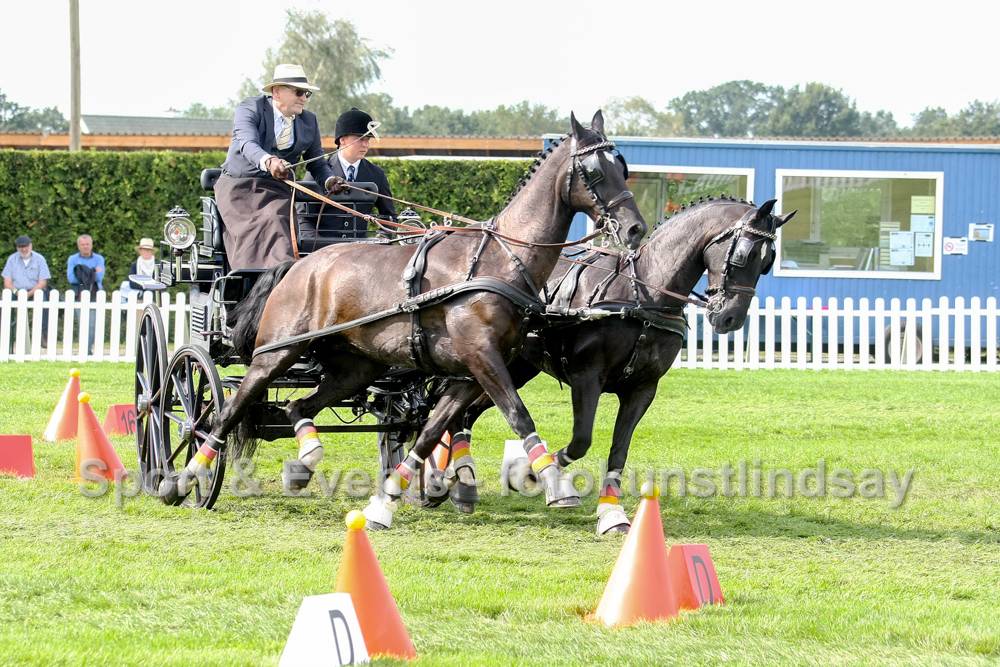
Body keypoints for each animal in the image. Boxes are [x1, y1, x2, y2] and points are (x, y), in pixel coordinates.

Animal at [430, 197, 796, 532]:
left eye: (768, 262)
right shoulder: (586, 377)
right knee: (460, 410)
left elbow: (619, 450)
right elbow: (581, 441)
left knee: (466, 412)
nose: (731, 318)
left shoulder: (642, 389)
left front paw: (610, 512)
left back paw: (458, 483)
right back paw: (448, 482)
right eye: (744, 255)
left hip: (516, 368)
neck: (642, 295)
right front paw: (532, 475)